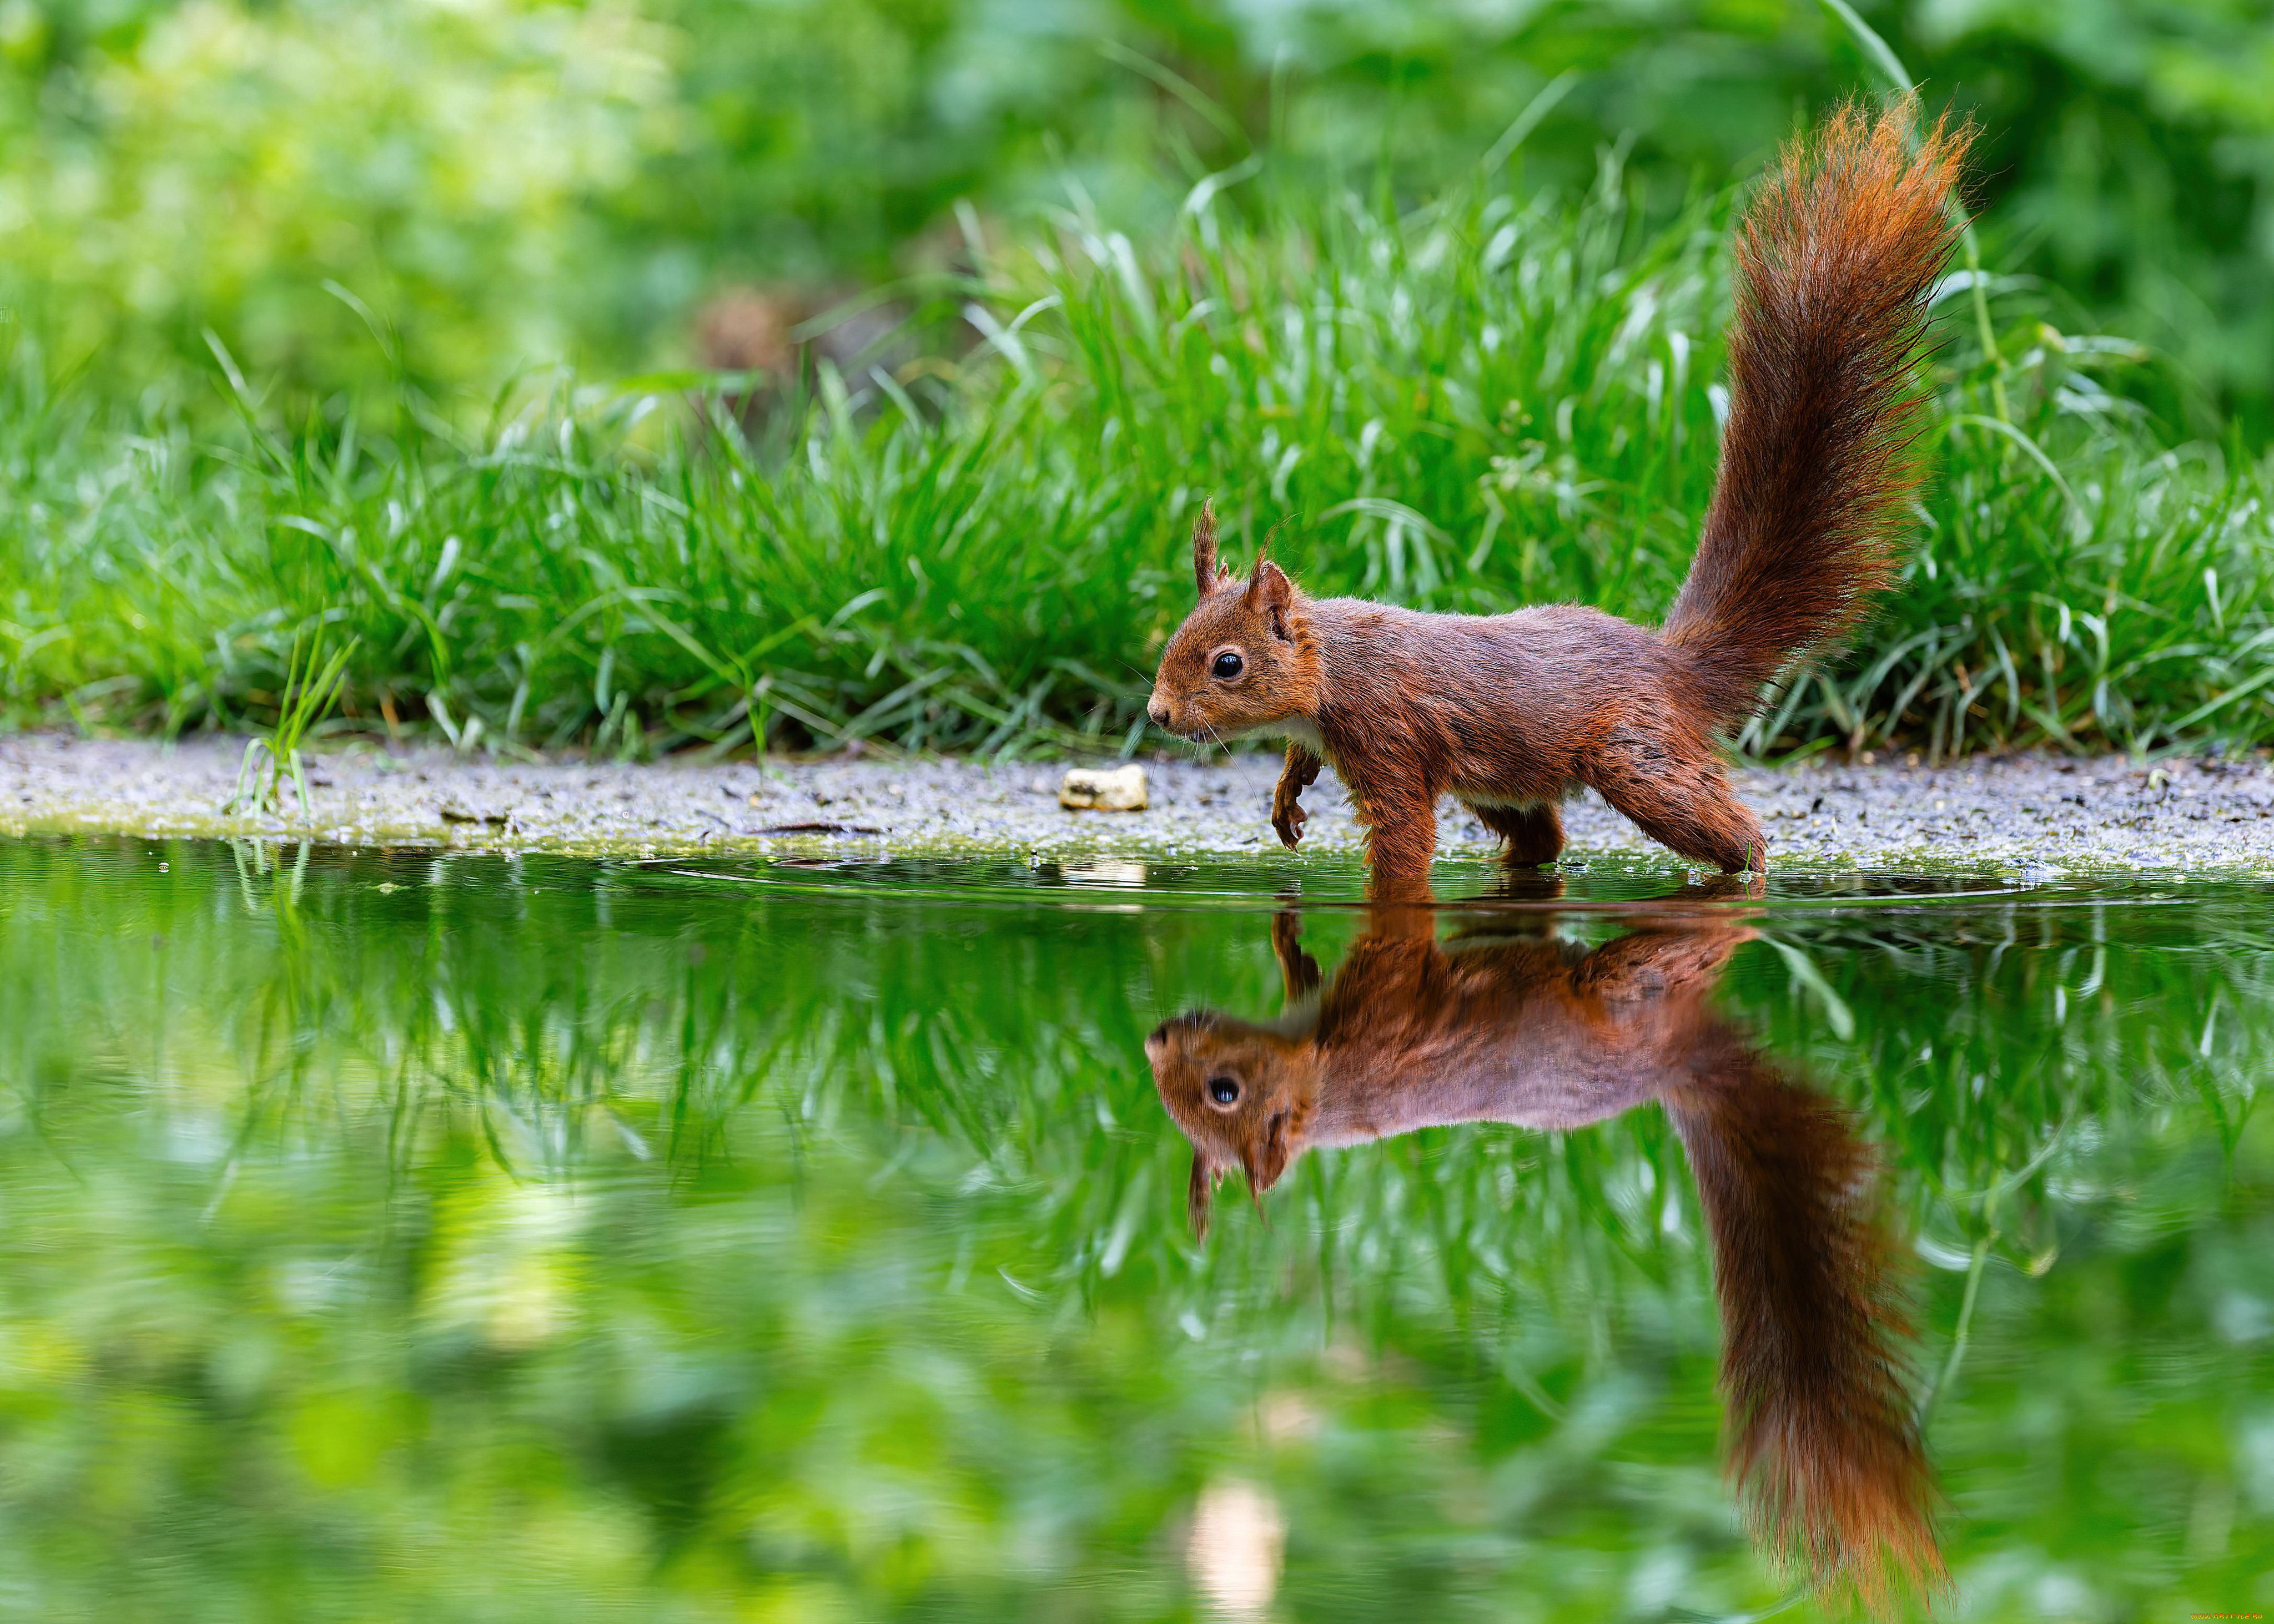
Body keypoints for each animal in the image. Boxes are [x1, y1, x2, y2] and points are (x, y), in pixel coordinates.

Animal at [1155, 104, 1974, 887]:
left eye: (1227, 664)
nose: (1158, 713)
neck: (1334, 671)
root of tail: (1673, 669)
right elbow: (1303, 764)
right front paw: (1286, 797)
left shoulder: (1391, 738)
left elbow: (1403, 842)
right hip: (1504, 782)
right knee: (1544, 838)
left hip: (1635, 757)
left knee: (1731, 831)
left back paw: (1754, 871)